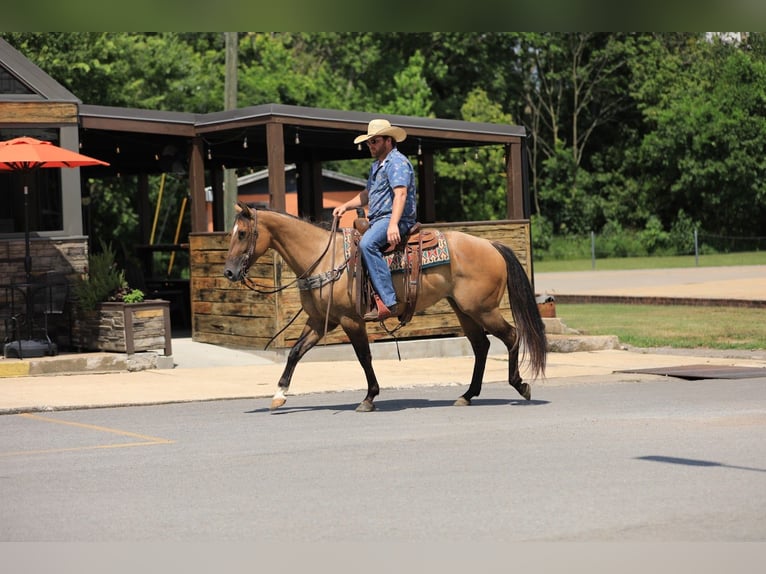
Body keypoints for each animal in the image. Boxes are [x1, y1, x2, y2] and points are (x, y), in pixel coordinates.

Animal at [223, 203, 546, 412]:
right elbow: (295, 352)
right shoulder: (319, 321)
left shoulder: (350, 320)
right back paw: (467, 395)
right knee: (481, 346)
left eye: (242, 234)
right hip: (463, 309)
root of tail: (492, 245)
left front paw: (369, 398)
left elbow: (364, 357)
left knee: (511, 336)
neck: (322, 257)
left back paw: (520, 386)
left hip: (483, 309)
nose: (228, 272)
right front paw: (279, 394)